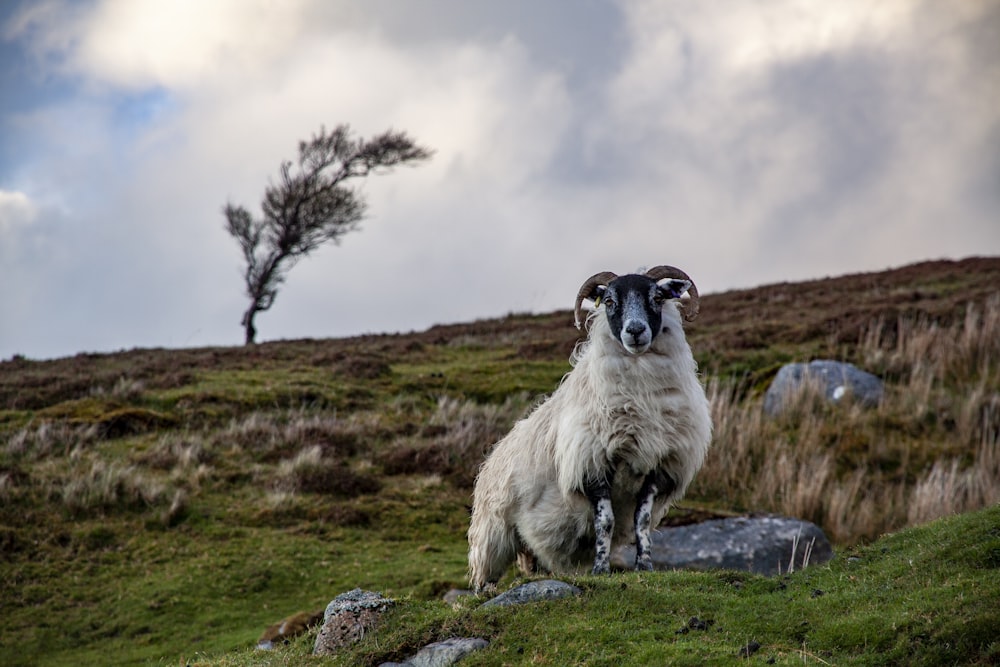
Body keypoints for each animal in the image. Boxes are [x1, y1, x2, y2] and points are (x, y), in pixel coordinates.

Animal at [466, 264, 712, 592]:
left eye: (657, 297)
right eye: (609, 301)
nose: (635, 331)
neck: (641, 397)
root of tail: (493, 454)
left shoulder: (658, 468)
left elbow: (642, 521)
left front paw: (644, 565)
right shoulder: (592, 465)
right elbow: (605, 522)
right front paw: (600, 569)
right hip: (492, 533)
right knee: (485, 573)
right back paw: (484, 592)